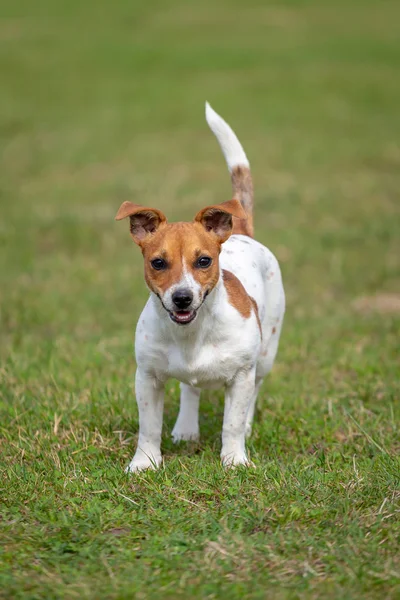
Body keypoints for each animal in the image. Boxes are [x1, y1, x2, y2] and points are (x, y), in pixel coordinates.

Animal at [115, 103, 284, 472]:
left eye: (204, 260)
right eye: (158, 263)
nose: (182, 298)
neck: (192, 334)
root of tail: (242, 232)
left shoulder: (241, 375)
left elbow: (231, 422)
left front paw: (234, 459)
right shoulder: (146, 377)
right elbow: (148, 425)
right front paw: (145, 462)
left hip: (266, 353)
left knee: (255, 390)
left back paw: (246, 427)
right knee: (190, 391)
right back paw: (185, 428)